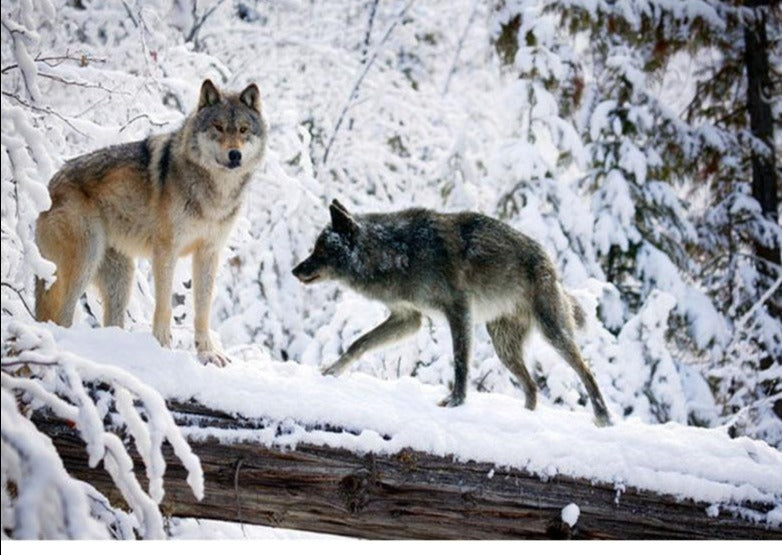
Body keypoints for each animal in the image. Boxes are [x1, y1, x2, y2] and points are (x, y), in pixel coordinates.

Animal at [35, 79, 267, 366]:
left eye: (244, 130)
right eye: (218, 127)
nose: (235, 155)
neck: (214, 193)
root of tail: (48, 186)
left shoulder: (209, 253)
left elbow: (203, 310)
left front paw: (208, 353)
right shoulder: (166, 250)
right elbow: (165, 305)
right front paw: (163, 345)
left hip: (121, 277)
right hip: (84, 262)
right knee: (61, 316)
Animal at [292, 200, 612, 426]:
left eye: (320, 250)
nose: (295, 270)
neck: (399, 253)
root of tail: (550, 262)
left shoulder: (458, 311)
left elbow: (460, 362)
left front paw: (456, 401)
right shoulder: (408, 319)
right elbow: (358, 343)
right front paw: (332, 371)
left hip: (552, 334)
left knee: (585, 371)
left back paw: (603, 418)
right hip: (504, 347)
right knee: (532, 387)